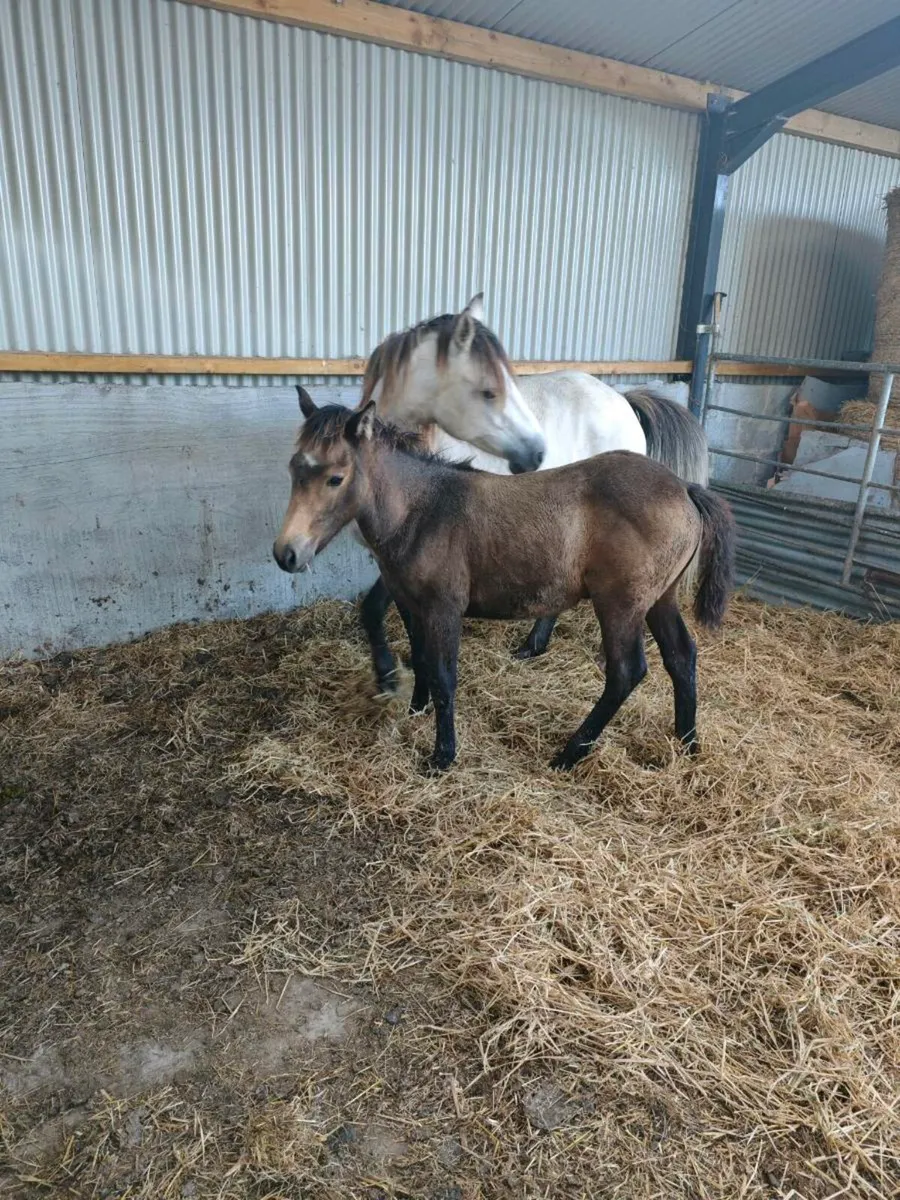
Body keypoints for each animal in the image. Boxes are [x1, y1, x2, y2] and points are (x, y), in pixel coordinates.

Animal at [273, 390, 735, 774]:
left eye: (335, 477)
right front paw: (414, 709)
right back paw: (687, 742)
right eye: (293, 468)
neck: (424, 510)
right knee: (681, 655)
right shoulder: (411, 604)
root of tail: (685, 487)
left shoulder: (444, 608)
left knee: (626, 672)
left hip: (621, 605)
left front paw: (442, 756)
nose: (286, 553)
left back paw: (570, 753)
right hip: (660, 599)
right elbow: (419, 657)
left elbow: (443, 676)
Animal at [356, 294, 710, 692]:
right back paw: (534, 645)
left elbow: (377, 609)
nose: (535, 454)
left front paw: (389, 675)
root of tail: (623, 398)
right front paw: (391, 675)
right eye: (489, 391)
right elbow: (376, 610)